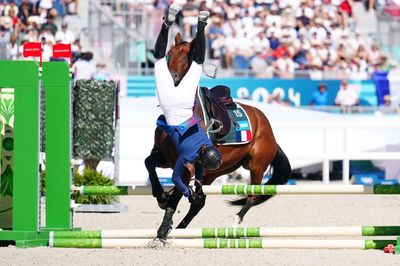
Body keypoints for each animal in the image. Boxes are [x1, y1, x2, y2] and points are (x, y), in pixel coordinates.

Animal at [145, 32, 292, 241]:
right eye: (169, 54)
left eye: (190, 57)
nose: (172, 82)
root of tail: (269, 131)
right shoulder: (165, 157)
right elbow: (149, 163)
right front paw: (160, 195)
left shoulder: (187, 165)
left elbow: (175, 197)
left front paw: (162, 230)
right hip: (215, 171)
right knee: (199, 201)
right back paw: (182, 227)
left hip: (256, 166)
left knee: (252, 195)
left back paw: (235, 221)